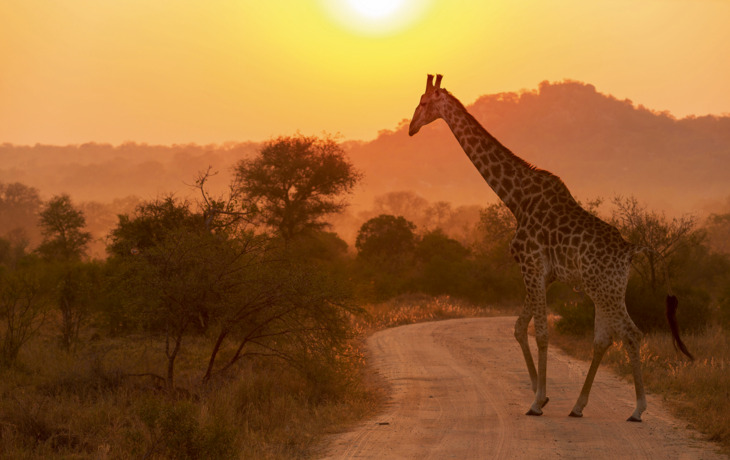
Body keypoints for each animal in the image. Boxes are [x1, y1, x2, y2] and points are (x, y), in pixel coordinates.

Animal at [408, 74, 693, 422]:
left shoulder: (530, 264)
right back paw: (578, 406)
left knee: (631, 334)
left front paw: (536, 401)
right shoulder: (545, 274)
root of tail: (630, 250)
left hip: (604, 289)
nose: (411, 128)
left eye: (424, 102)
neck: (516, 199)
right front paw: (540, 395)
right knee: (604, 338)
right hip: (608, 289)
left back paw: (637, 409)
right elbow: (520, 327)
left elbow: (541, 332)